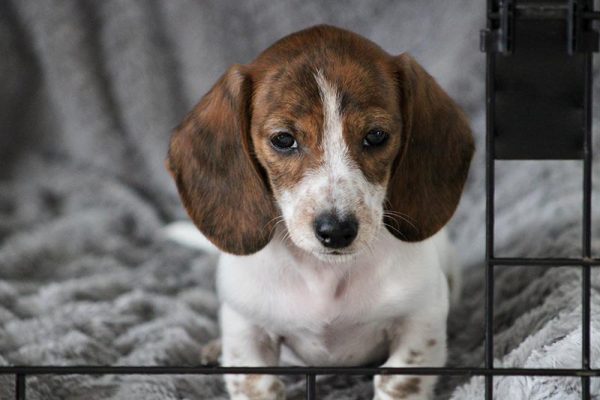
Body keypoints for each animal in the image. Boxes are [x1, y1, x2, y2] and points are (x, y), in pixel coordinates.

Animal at [165, 24, 474, 400]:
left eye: (376, 136)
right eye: (283, 140)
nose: (337, 231)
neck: (325, 275)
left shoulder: (420, 319)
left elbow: (396, 381)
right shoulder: (246, 330)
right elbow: (257, 382)